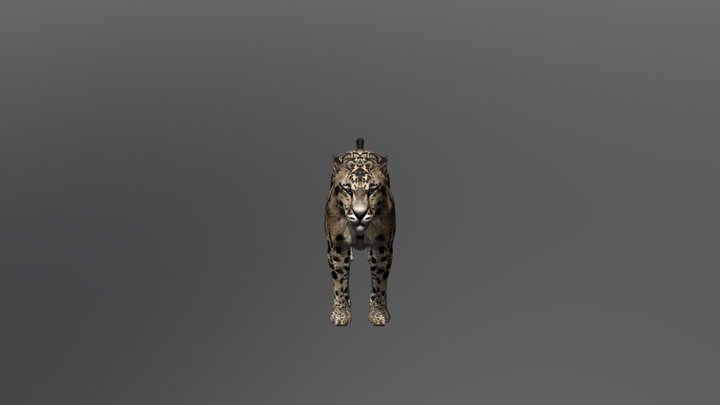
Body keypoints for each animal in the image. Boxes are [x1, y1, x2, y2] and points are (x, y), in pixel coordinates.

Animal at [324, 138, 396, 326]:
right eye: (348, 189)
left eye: (372, 190)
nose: (360, 213)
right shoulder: (337, 245)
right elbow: (340, 279)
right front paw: (341, 313)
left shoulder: (382, 245)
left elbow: (379, 281)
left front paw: (379, 313)